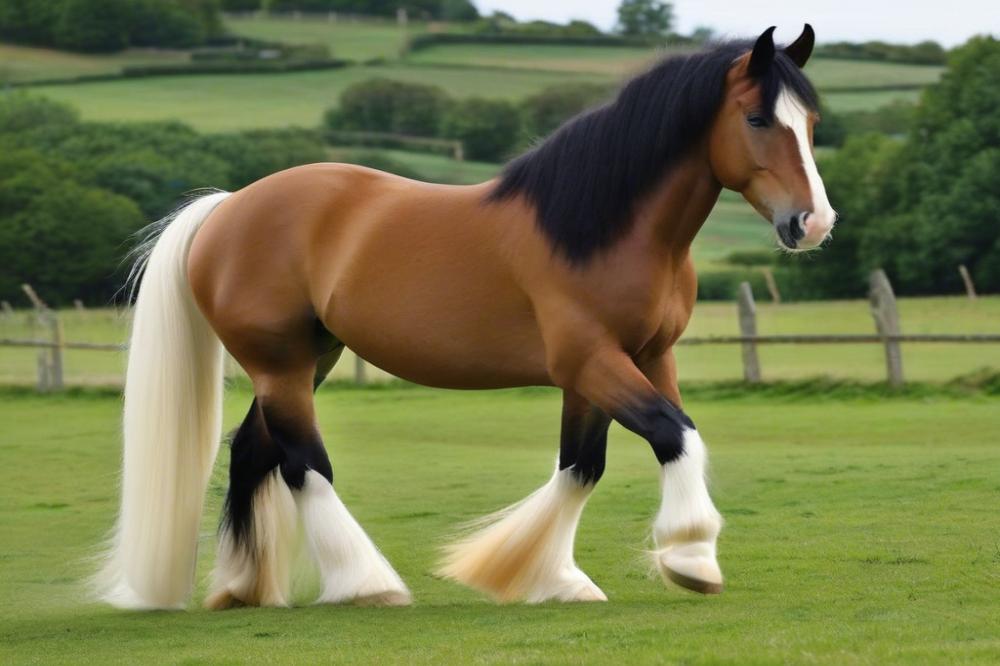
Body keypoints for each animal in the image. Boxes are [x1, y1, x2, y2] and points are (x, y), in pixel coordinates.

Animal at [95, 26, 836, 608]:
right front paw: (689, 556)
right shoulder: (591, 360)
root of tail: (228, 208)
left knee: (255, 451)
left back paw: (244, 588)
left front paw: (551, 577)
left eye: (811, 125)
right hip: (278, 363)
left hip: (311, 358)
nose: (814, 222)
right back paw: (366, 583)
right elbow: (673, 433)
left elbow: (584, 464)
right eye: (759, 120)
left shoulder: (638, 359)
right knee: (303, 463)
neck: (598, 229)